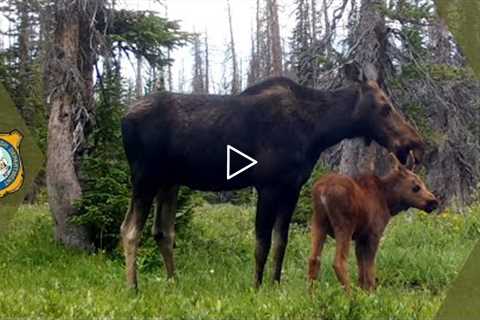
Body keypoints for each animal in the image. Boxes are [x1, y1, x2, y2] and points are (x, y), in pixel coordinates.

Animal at [120, 62, 424, 290]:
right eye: (385, 107)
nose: (415, 143)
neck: (318, 131)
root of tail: (123, 117)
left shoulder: (292, 187)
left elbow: (281, 241)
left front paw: (275, 284)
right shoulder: (266, 185)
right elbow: (261, 242)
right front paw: (256, 287)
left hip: (169, 181)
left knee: (163, 231)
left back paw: (174, 282)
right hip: (145, 176)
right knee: (130, 229)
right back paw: (133, 287)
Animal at [308, 153, 438, 292]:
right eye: (416, 187)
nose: (434, 202)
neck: (389, 202)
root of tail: (322, 192)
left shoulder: (361, 238)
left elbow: (361, 268)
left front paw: (363, 290)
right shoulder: (374, 233)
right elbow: (370, 268)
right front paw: (371, 292)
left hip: (318, 221)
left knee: (314, 259)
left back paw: (311, 294)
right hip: (344, 225)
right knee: (339, 262)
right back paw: (349, 294)